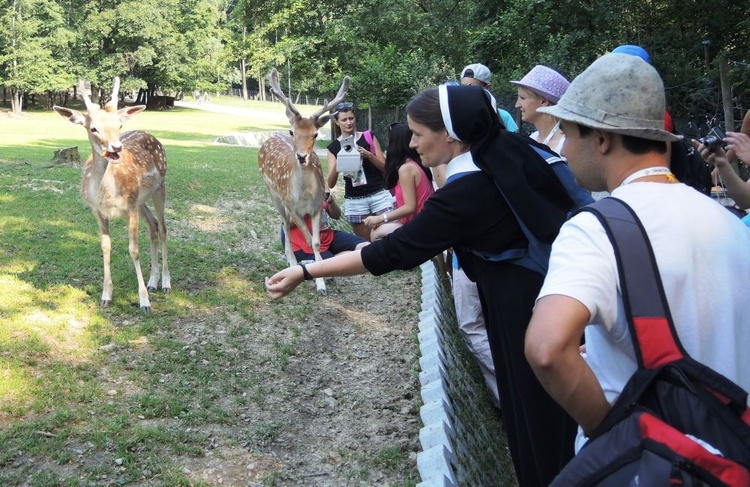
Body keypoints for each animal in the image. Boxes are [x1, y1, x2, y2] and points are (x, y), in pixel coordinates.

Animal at [53, 77, 170, 310]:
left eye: (119, 125)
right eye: (93, 128)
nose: (116, 147)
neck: (106, 195)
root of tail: (152, 136)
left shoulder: (130, 208)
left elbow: (133, 249)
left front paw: (144, 301)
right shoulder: (97, 210)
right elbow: (105, 247)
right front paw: (106, 296)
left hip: (159, 186)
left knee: (162, 228)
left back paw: (165, 283)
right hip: (141, 200)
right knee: (152, 225)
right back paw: (153, 282)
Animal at [258, 67, 350, 298]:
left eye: (315, 134)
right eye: (292, 131)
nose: (301, 156)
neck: (305, 195)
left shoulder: (317, 207)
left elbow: (316, 242)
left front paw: (322, 283)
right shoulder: (293, 207)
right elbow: (307, 240)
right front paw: (317, 280)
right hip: (272, 192)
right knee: (283, 222)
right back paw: (291, 262)